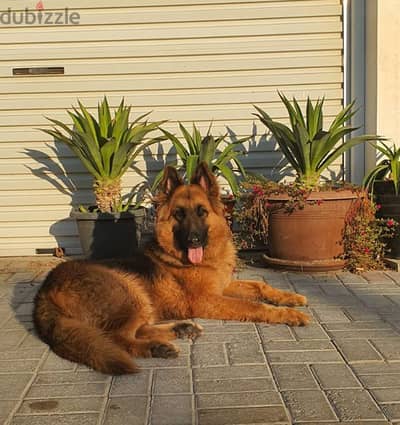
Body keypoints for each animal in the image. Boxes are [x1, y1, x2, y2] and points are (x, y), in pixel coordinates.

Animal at [34, 163, 310, 374]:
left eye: (202, 212)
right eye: (179, 214)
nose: (193, 240)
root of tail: (46, 289)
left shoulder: (225, 286)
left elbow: (260, 285)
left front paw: (289, 297)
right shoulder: (208, 300)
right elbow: (254, 306)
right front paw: (287, 314)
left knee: (137, 329)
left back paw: (180, 329)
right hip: (130, 292)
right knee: (118, 337)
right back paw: (157, 347)